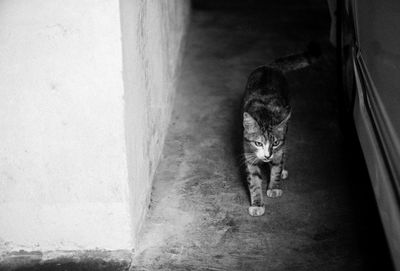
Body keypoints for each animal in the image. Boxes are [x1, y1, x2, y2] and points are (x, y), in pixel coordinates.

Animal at [241, 43, 322, 217]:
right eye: (258, 143)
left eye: (275, 142)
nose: (267, 155)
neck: (265, 113)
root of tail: (270, 66)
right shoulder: (248, 151)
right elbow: (254, 179)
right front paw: (257, 203)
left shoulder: (280, 146)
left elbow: (277, 166)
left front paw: (274, 186)